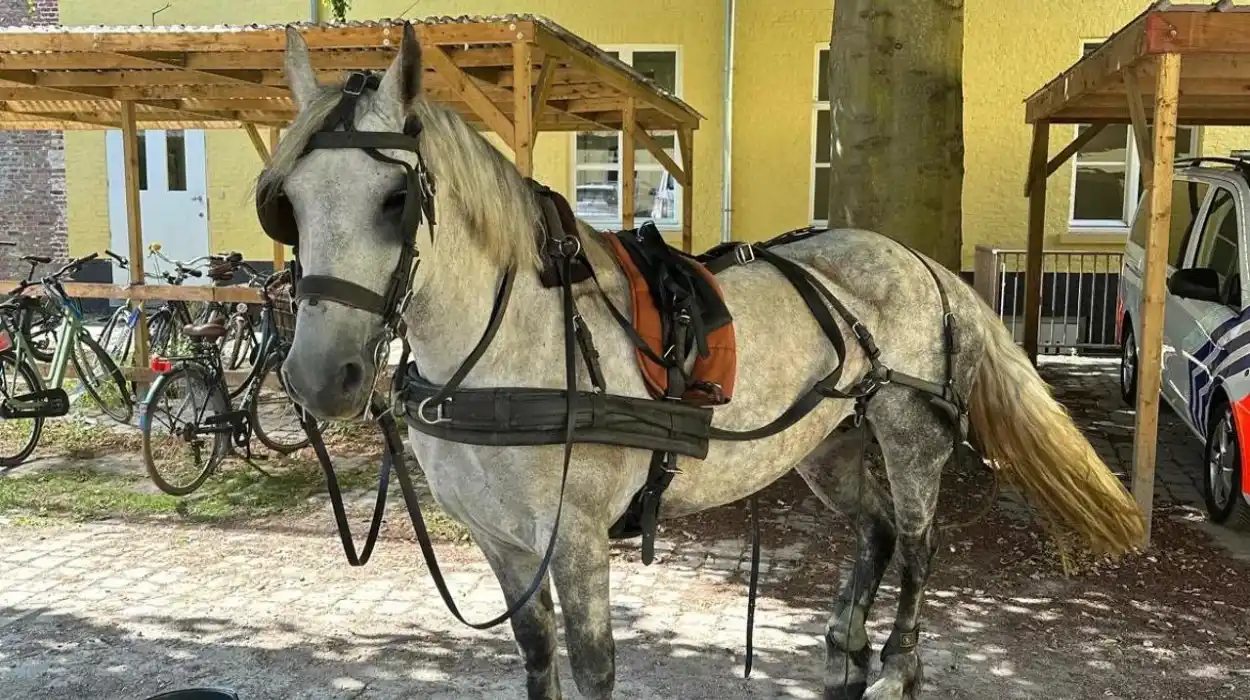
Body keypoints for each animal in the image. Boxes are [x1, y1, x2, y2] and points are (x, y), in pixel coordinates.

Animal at [262, 24, 1143, 700]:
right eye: (287, 204)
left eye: (396, 200)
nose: (318, 378)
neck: (502, 353)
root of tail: (924, 264)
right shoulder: (501, 542)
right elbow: (538, 659)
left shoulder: (574, 538)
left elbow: (592, 665)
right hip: (826, 443)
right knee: (877, 529)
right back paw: (844, 646)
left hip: (908, 433)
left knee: (920, 544)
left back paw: (897, 666)